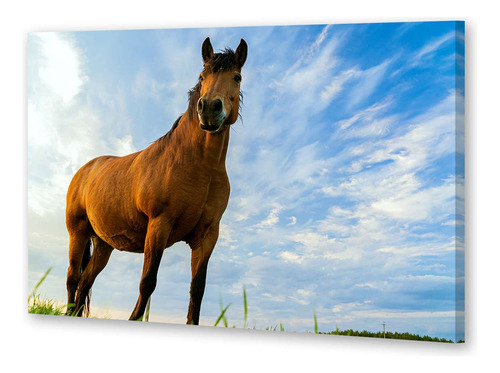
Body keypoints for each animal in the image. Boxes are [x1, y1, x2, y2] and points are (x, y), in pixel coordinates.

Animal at [64, 36, 248, 324]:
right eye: (202, 76)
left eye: (237, 77)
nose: (209, 109)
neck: (199, 167)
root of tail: (87, 169)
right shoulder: (159, 224)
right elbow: (147, 281)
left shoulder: (208, 236)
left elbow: (197, 288)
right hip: (78, 232)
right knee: (73, 278)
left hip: (104, 245)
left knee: (85, 281)